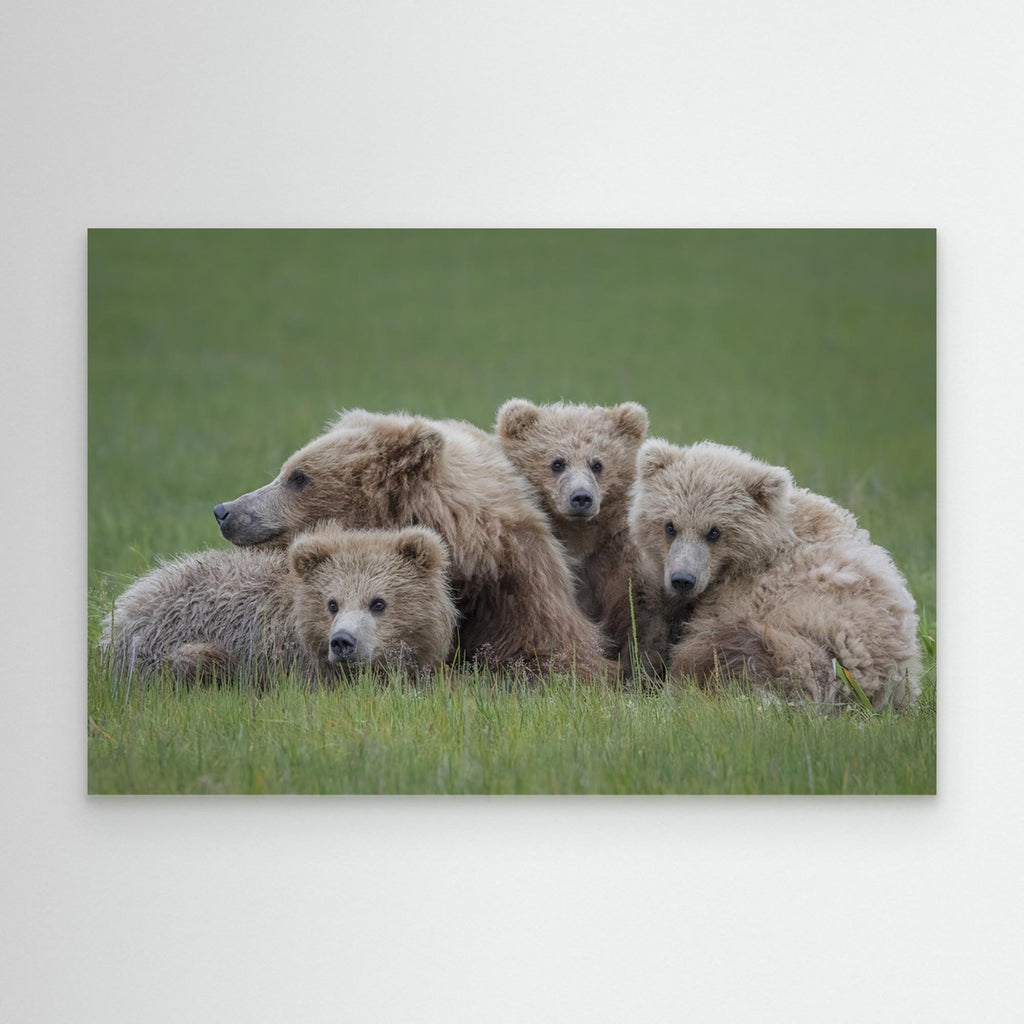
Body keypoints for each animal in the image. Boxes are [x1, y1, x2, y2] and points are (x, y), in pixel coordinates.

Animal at [495, 399, 668, 674]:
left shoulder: (614, 556)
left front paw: (637, 667)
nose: (581, 497)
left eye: (597, 464)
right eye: (557, 463)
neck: (579, 538)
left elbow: (637, 610)